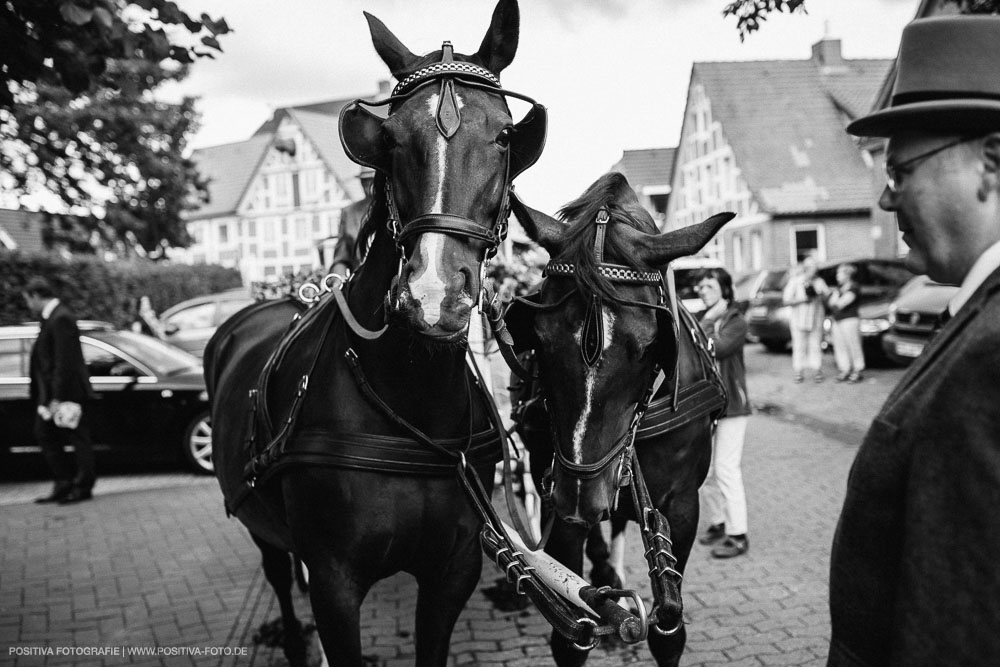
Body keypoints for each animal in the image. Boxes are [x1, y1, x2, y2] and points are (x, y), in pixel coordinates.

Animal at [205, 2, 548, 664]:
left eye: (504, 135)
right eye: (389, 141)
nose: (434, 294)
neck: (407, 397)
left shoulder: (453, 571)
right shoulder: (333, 583)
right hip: (262, 524)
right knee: (278, 573)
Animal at [504, 174, 732, 667]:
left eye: (650, 347)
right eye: (540, 340)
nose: (581, 498)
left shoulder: (682, 505)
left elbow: (668, 629)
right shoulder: (557, 494)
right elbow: (572, 628)